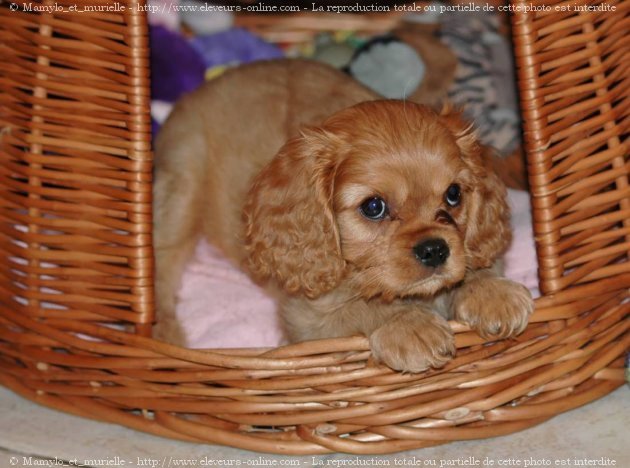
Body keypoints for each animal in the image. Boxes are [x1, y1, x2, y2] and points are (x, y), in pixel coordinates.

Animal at [154, 59, 532, 372]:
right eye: (374, 207)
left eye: (453, 194)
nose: (435, 250)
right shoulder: (309, 320)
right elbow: (359, 308)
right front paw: (408, 324)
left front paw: (491, 292)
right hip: (181, 187)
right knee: (162, 265)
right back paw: (165, 335)